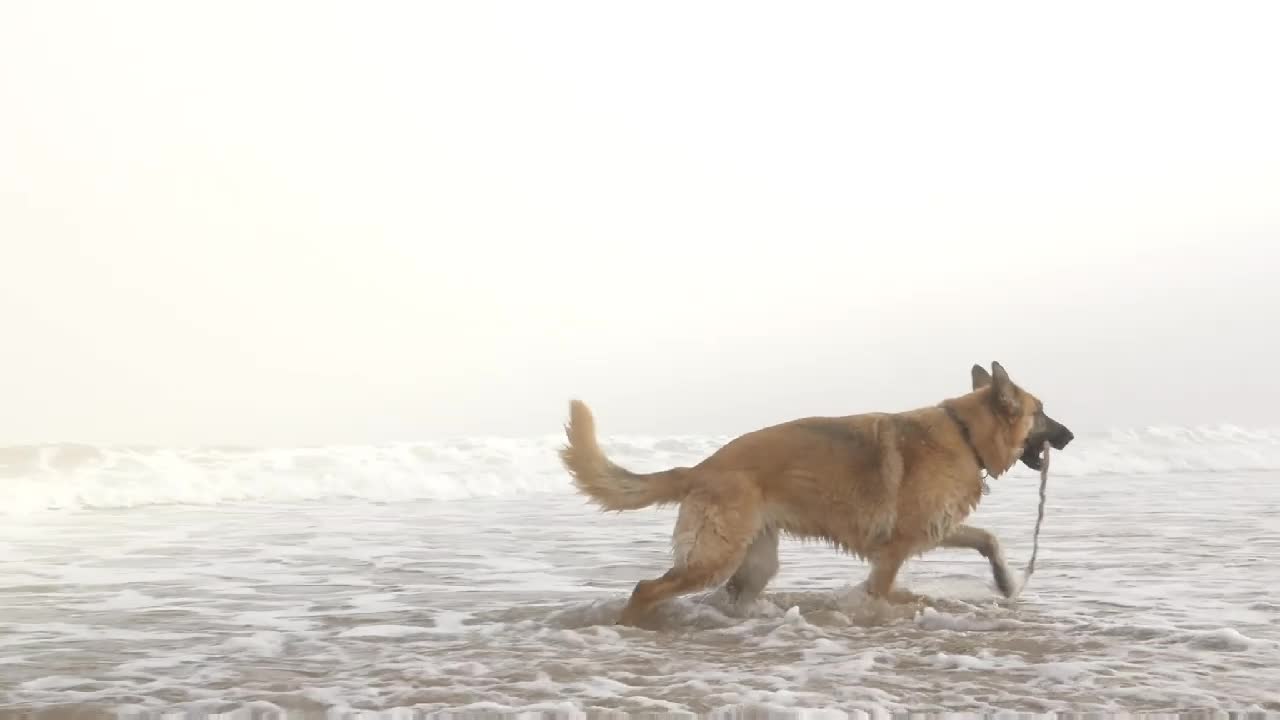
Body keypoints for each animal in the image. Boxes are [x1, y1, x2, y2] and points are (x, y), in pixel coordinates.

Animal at [565, 358, 1075, 622]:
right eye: (1042, 413)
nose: (1070, 436)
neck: (965, 432)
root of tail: (702, 467)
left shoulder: (935, 529)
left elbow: (988, 540)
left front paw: (1006, 582)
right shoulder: (895, 551)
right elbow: (882, 593)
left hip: (754, 563)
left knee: (728, 594)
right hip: (714, 558)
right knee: (645, 588)